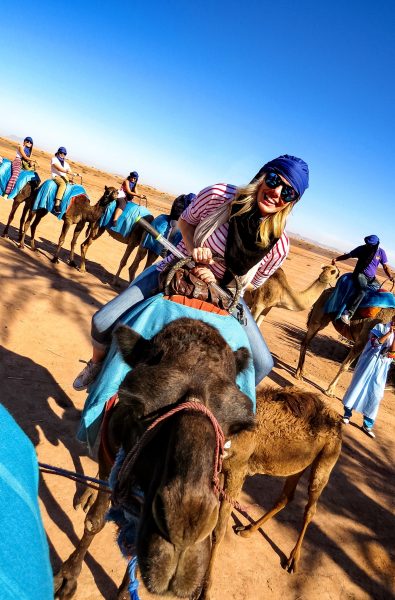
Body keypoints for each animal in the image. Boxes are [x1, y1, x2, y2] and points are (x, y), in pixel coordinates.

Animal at [203, 386, 342, 596]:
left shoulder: (237, 471)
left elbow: (218, 529)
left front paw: (205, 589)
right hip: (298, 463)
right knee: (286, 496)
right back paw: (248, 529)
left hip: (326, 460)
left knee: (310, 508)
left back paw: (292, 560)